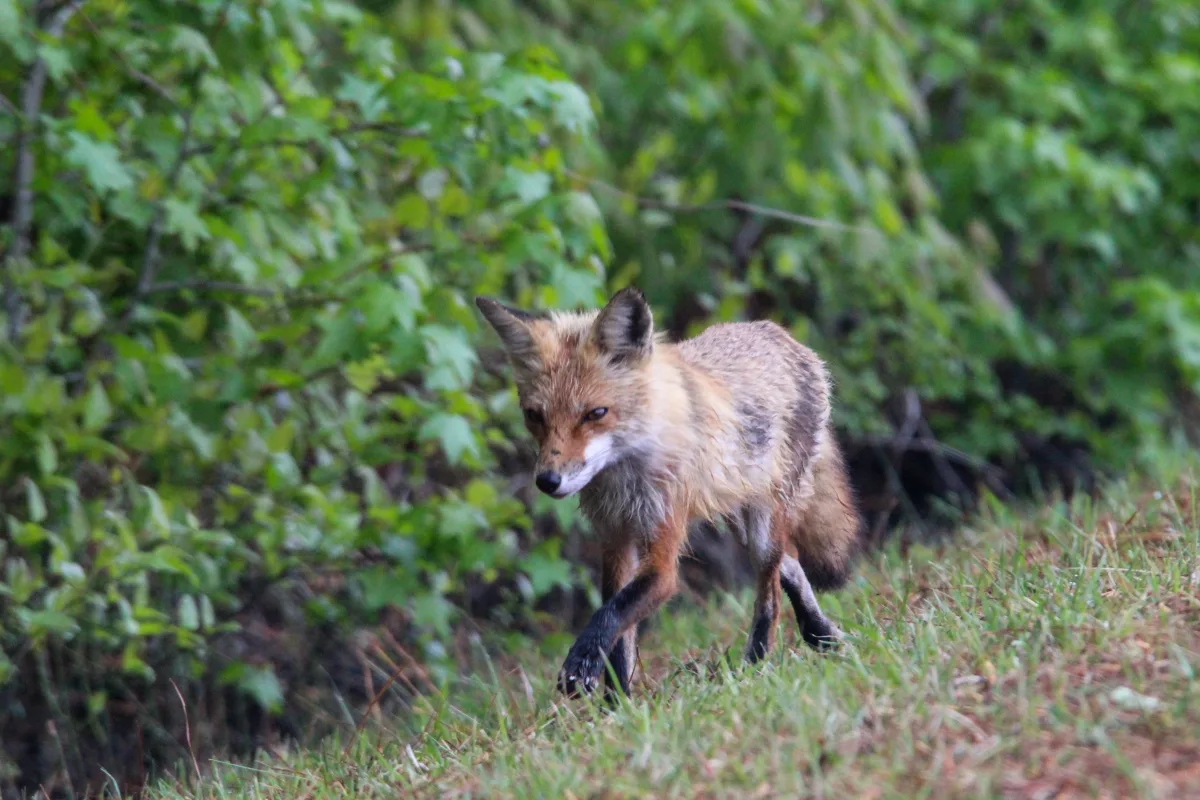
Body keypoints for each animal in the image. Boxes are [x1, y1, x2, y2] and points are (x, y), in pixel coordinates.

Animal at [475, 287, 864, 698]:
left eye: (596, 413)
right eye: (535, 416)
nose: (548, 481)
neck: (627, 475)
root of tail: (779, 333)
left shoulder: (663, 549)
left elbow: (612, 612)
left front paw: (582, 666)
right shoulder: (616, 537)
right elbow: (620, 633)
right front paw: (618, 703)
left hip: (761, 528)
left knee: (771, 595)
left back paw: (755, 663)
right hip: (740, 519)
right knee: (790, 563)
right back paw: (822, 636)